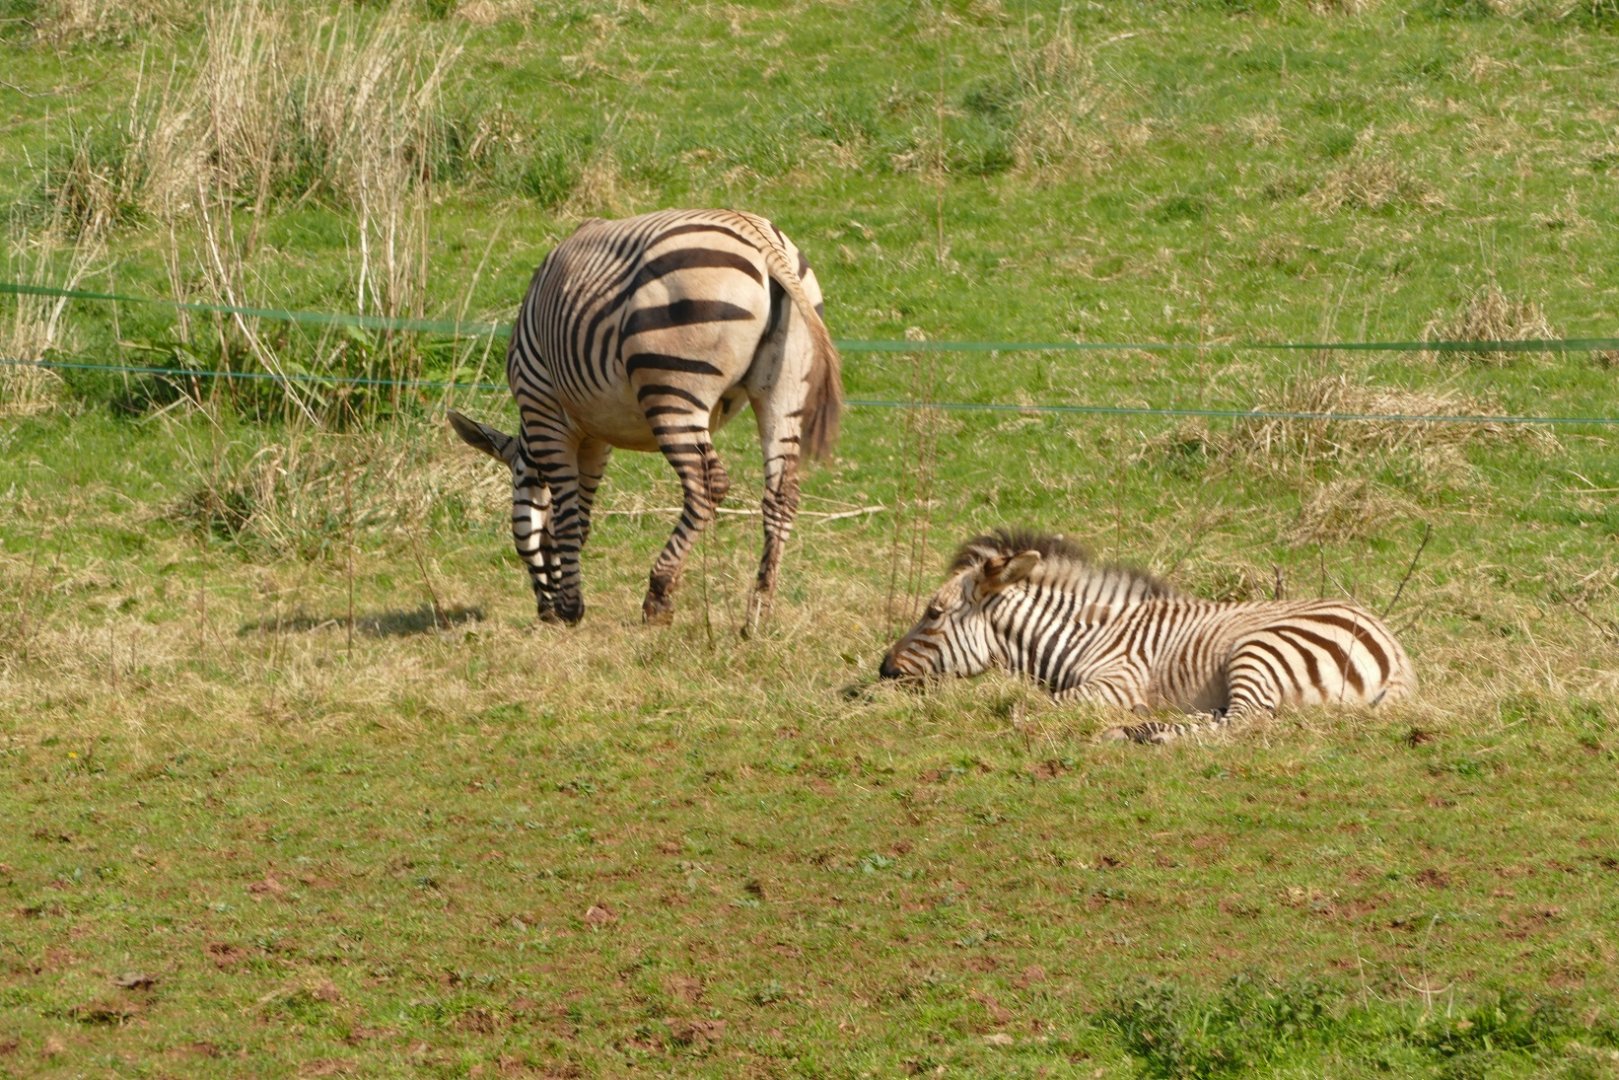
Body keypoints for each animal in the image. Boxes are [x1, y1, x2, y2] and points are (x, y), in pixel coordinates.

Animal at [448, 209, 842, 629]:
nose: (545, 614)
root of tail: (759, 235)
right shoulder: (596, 437)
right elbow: (579, 517)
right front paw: (572, 599)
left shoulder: (545, 411)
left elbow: (565, 517)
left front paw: (571, 607)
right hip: (785, 387)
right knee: (782, 493)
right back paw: (758, 613)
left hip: (671, 387)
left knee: (707, 484)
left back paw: (659, 596)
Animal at [878, 530, 1415, 744]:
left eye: (933, 613)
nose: (884, 670)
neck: (1084, 635)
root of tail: (1392, 653)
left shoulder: (1118, 681)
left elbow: (1026, 710)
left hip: (1257, 651)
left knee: (1242, 724)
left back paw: (1140, 732)